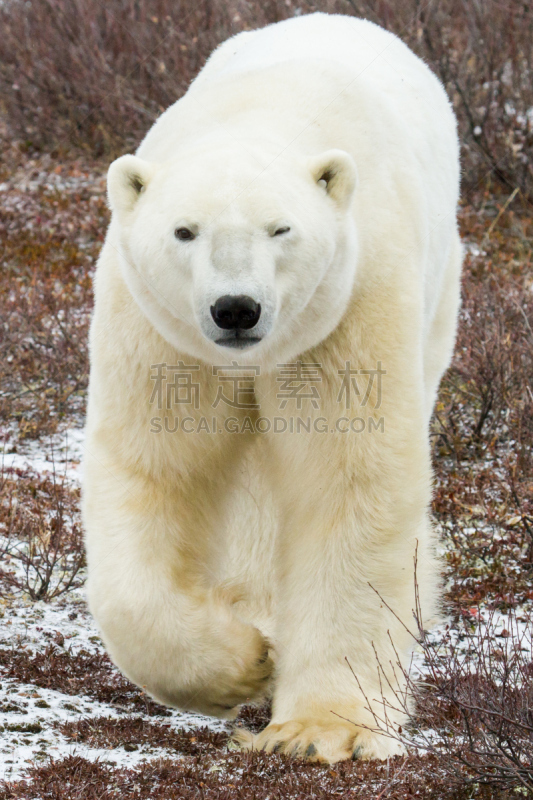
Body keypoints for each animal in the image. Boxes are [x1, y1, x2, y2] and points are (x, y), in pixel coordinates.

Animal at [83, 10, 462, 764]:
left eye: (280, 228)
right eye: (184, 231)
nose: (236, 309)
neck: (262, 111)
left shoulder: (351, 303)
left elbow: (347, 480)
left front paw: (317, 732)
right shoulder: (163, 335)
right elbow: (154, 467)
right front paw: (242, 664)